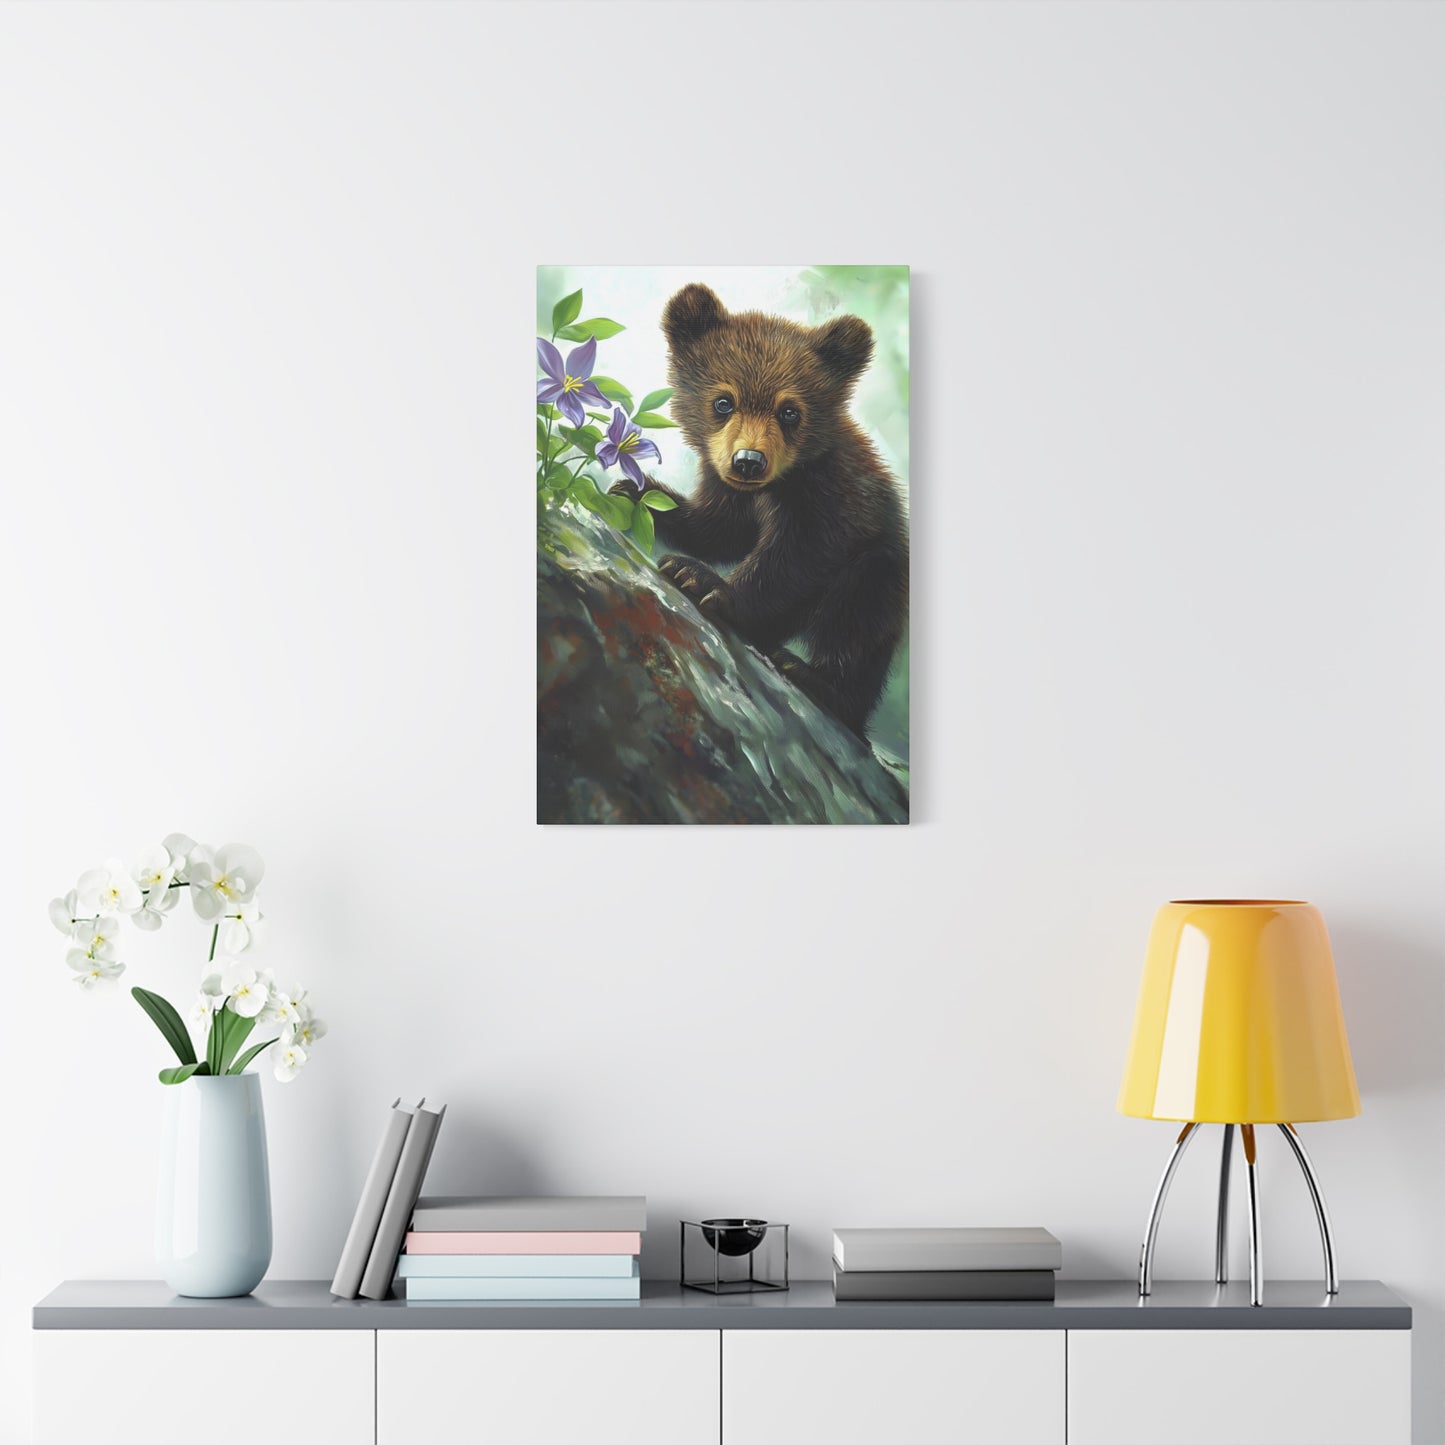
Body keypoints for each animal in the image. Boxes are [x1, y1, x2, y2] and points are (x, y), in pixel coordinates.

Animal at [609, 282, 909, 739]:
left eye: (790, 411)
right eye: (723, 401)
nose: (748, 461)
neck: (776, 486)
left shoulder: (831, 497)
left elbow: (797, 557)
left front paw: (700, 578)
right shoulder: (728, 486)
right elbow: (718, 527)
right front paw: (637, 492)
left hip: (884, 571)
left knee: (859, 618)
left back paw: (813, 676)